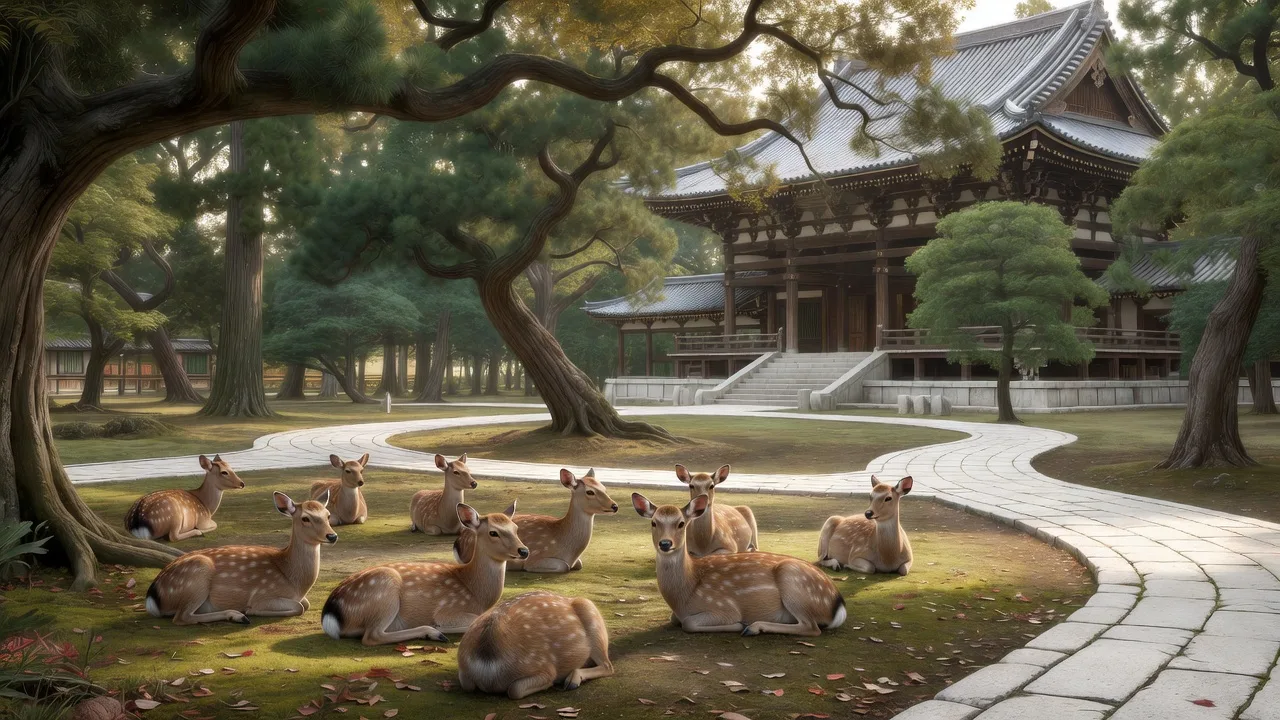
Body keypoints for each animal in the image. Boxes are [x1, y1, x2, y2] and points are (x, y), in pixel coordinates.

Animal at [144, 491, 338, 625]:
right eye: (305, 518)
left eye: (328, 515)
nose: (332, 536)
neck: (294, 581)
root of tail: (152, 596)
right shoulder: (263, 594)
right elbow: (300, 607)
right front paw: (251, 610)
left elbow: (306, 604)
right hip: (197, 576)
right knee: (181, 617)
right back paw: (238, 615)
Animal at [322, 502, 527, 646]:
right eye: (493, 532)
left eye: (516, 529)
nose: (524, 551)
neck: (476, 593)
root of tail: (330, 614)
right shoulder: (448, 609)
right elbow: (474, 620)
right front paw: (441, 628)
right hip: (385, 590)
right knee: (372, 636)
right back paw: (434, 633)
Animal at [453, 468, 617, 572]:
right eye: (590, 491)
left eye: (604, 487)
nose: (614, 506)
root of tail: (459, 541)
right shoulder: (535, 558)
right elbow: (563, 566)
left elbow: (579, 564)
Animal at [457, 590, 614, 699]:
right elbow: (467, 685)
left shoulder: (545, 668)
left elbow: (515, 689)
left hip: (593, 617)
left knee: (608, 666)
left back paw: (572, 681)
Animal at [632, 493, 846, 637]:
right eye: (654, 522)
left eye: (681, 523)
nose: (665, 543)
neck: (683, 596)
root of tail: (838, 605)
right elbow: (675, 620)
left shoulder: (724, 607)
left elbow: (689, 624)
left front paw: (739, 625)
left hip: (792, 580)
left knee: (812, 627)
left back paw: (753, 627)